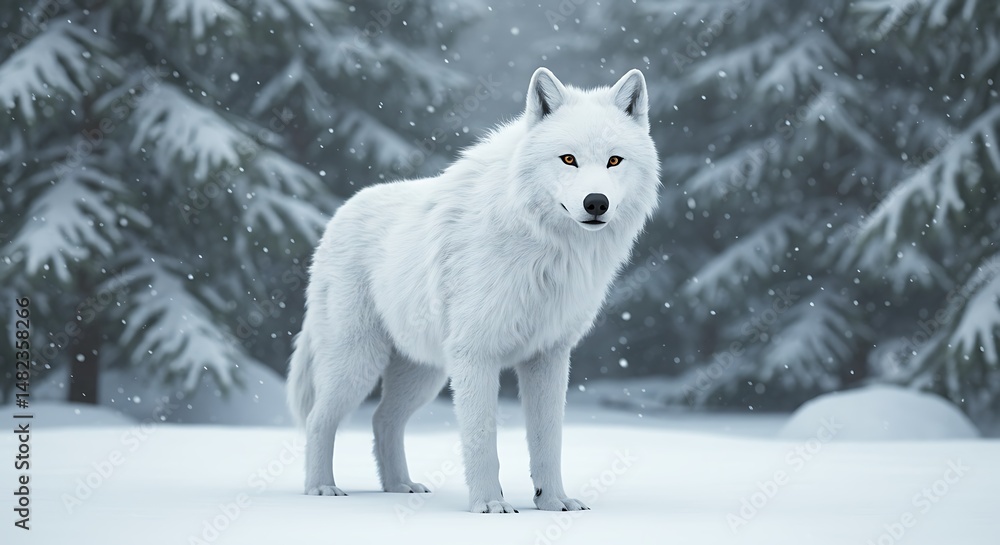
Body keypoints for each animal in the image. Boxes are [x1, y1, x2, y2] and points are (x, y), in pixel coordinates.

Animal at [287, 67, 660, 513]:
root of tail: (337, 215)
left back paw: (400, 486)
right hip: (358, 362)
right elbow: (483, 439)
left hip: (423, 373)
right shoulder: (475, 354)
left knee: (383, 419)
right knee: (318, 419)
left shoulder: (548, 356)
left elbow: (548, 440)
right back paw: (321, 489)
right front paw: (489, 506)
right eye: (568, 159)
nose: (596, 202)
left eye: (614, 160)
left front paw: (554, 502)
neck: (545, 249)